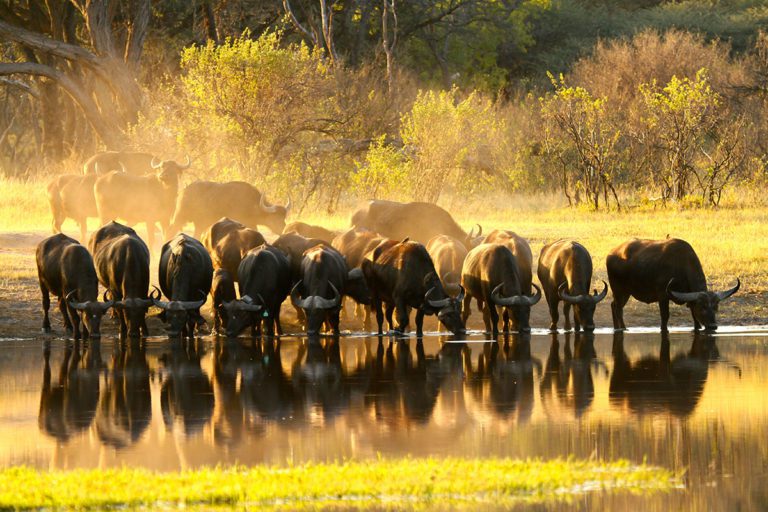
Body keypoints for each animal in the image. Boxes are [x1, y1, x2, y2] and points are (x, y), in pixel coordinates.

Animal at [606, 238, 740, 331]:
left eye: (716, 306)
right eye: (702, 306)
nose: (713, 326)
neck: (681, 265)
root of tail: (612, 253)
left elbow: (694, 317)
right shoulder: (662, 296)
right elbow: (665, 316)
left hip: (624, 293)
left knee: (613, 305)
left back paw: (616, 328)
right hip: (619, 291)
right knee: (618, 309)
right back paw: (623, 328)